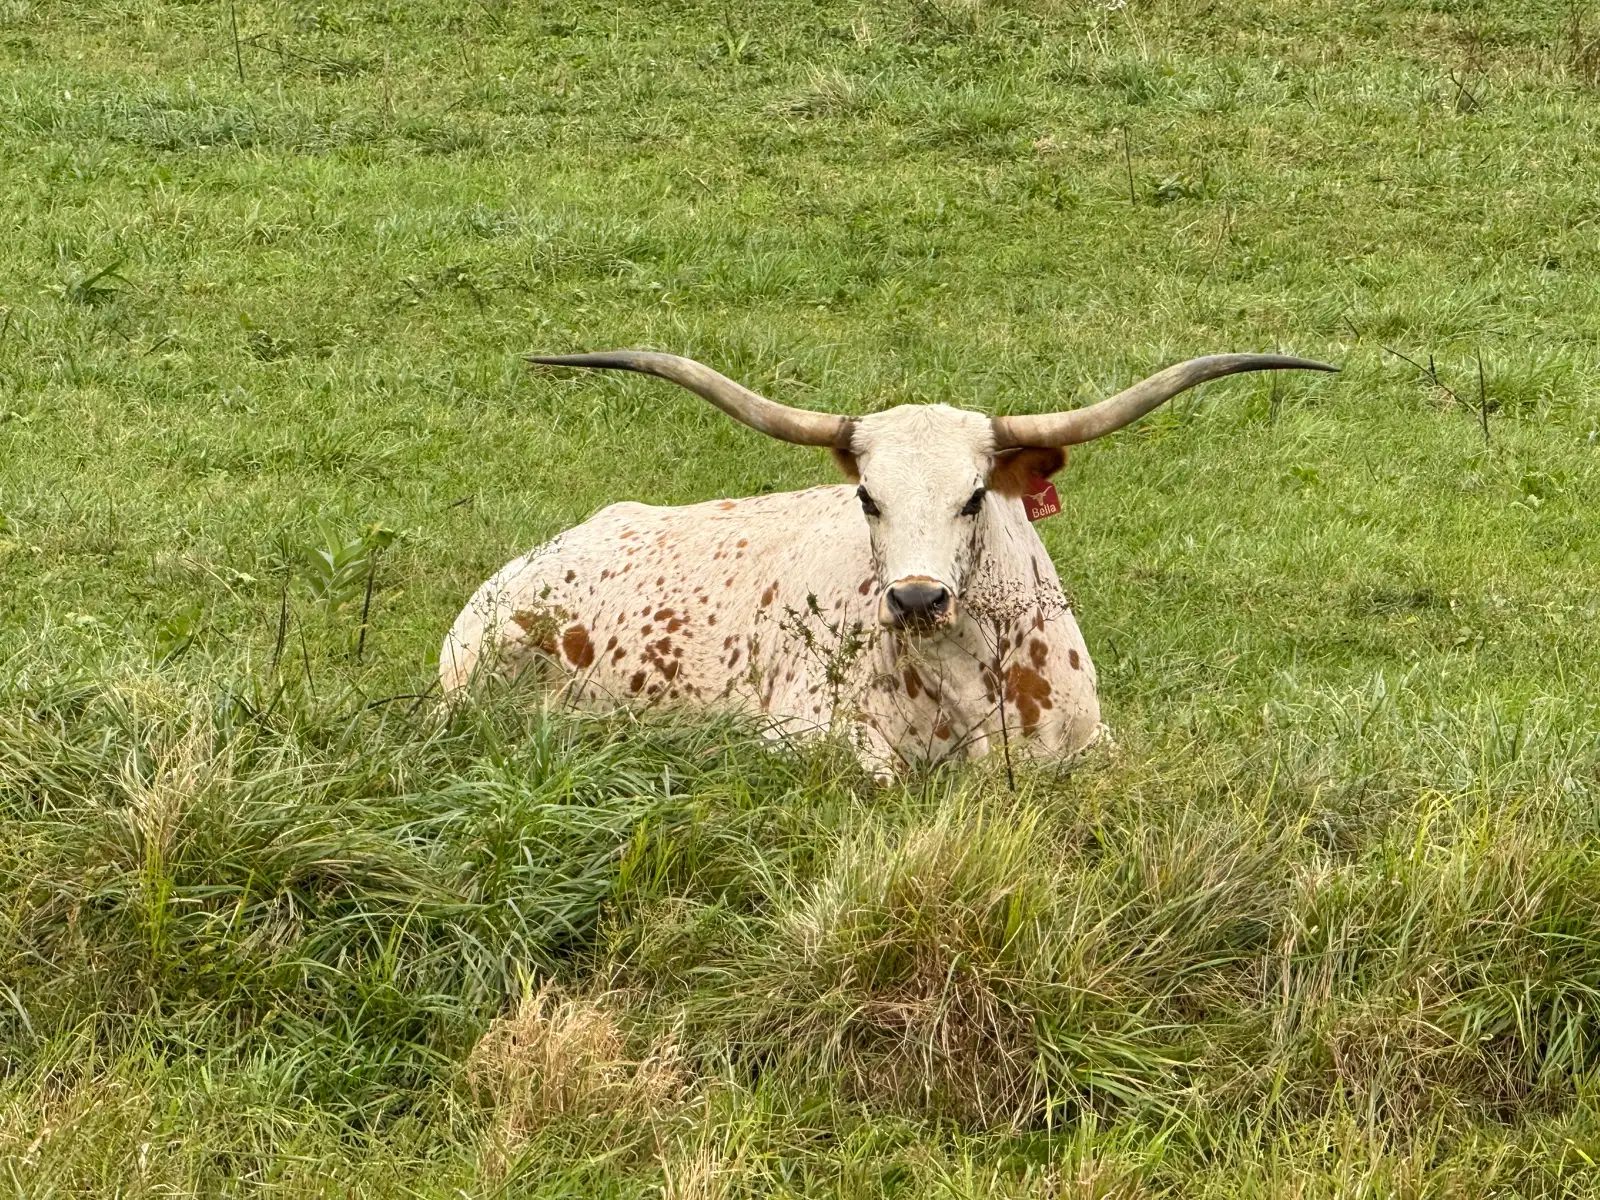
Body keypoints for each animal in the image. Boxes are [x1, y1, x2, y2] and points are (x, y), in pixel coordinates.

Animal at [441, 350, 1335, 772]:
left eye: (974, 497)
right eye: (868, 497)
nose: (915, 599)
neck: (969, 678)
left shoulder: (1091, 742)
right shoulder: (805, 733)